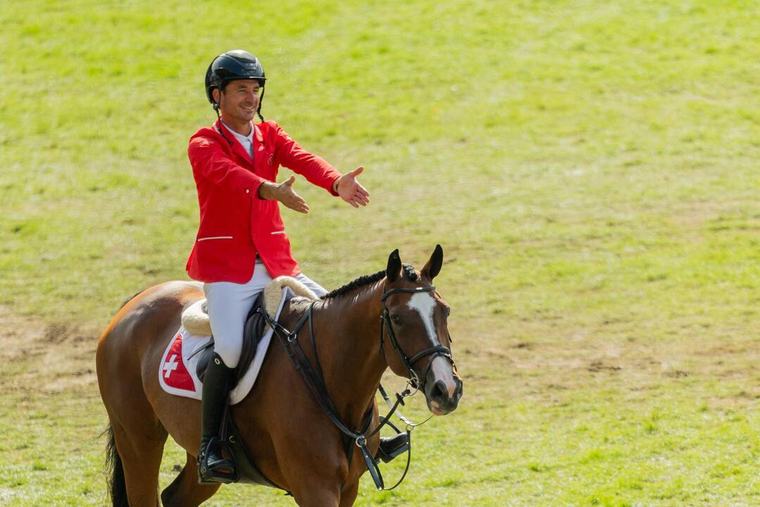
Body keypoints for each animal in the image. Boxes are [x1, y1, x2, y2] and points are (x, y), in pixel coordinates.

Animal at [96, 245, 463, 506]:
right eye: (398, 319)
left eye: (445, 311)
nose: (446, 390)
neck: (329, 378)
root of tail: (131, 306)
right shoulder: (315, 489)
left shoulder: (348, 488)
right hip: (137, 439)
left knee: (175, 497)